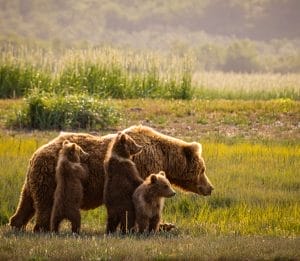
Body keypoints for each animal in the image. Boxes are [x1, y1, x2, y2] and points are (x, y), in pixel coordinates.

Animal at [8, 125, 213, 231]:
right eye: (203, 169)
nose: (210, 188)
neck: (163, 156)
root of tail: (36, 153)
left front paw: (166, 224)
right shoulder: (143, 166)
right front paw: (152, 225)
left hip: (34, 180)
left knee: (26, 202)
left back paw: (17, 224)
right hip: (50, 178)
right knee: (44, 207)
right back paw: (42, 228)